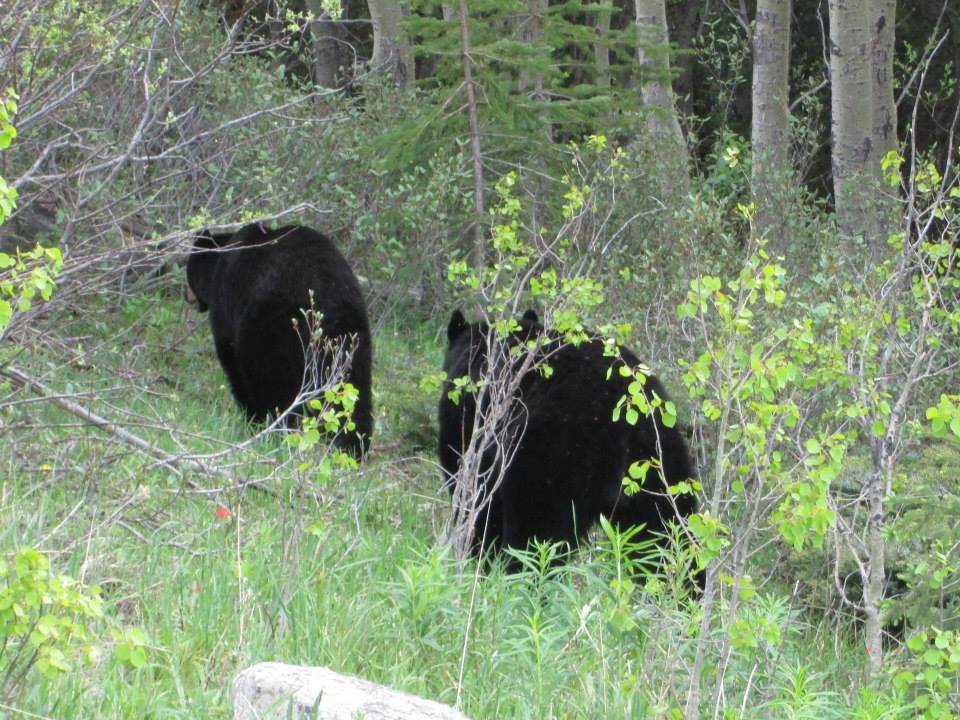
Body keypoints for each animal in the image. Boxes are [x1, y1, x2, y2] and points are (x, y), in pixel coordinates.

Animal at [186, 224, 374, 456]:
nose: (187, 296)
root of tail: (329, 306)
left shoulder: (226, 306)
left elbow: (232, 363)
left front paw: (251, 419)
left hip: (275, 335)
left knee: (272, 388)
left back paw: (275, 430)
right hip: (353, 341)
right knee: (354, 395)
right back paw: (352, 448)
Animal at [436, 310, 696, 568]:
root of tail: (623, 415)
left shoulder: (468, 429)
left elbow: (475, 502)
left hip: (551, 458)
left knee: (536, 531)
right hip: (661, 461)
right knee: (667, 532)